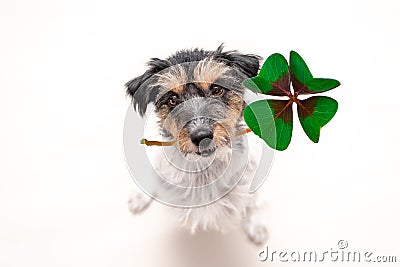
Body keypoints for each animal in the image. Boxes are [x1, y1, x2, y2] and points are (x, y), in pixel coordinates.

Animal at [126, 44, 268, 245]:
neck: (204, 170)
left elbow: (252, 203)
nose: (202, 136)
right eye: (172, 99)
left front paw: (256, 226)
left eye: (216, 89)